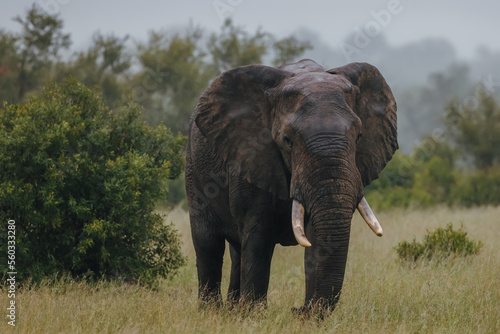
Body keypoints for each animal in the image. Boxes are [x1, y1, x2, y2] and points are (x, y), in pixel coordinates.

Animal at [185, 58, 398, 312]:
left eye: (359, 137)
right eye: (287, 141)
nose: (297, 309)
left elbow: (317, 241)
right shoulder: (251, 157)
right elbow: (258, 238)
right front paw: (254, 315)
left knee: (237, 250)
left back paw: (232, 310)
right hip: (193, 167)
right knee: (208, 242)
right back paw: (212, 312)